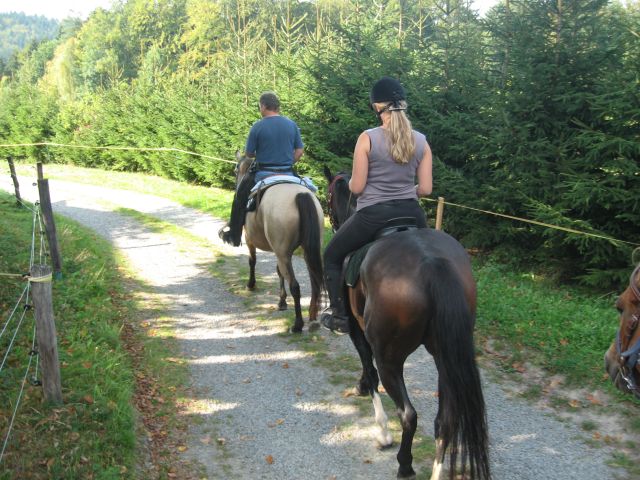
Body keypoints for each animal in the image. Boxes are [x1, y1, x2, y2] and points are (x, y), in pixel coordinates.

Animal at [220, 152, 324, 333]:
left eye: (235, 170)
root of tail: (300, 195)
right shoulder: (278, 250)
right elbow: (278, 271)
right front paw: (282, 301)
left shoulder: (250, 239)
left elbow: (252, 261)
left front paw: (251, 284)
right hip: (307, 250)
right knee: (314, 282)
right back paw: (312, 318)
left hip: (283, 254)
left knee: (295, 286)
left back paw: (297, 324)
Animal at [325, 167, 490, 480]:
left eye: (328, 197)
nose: (333, 221)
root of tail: (433, 264)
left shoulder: (357, 331)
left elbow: (370, 372)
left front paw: (381, 431)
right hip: (444, 357)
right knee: (445, 421)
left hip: (390, 357)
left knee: (408, 414)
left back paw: (404, 463)